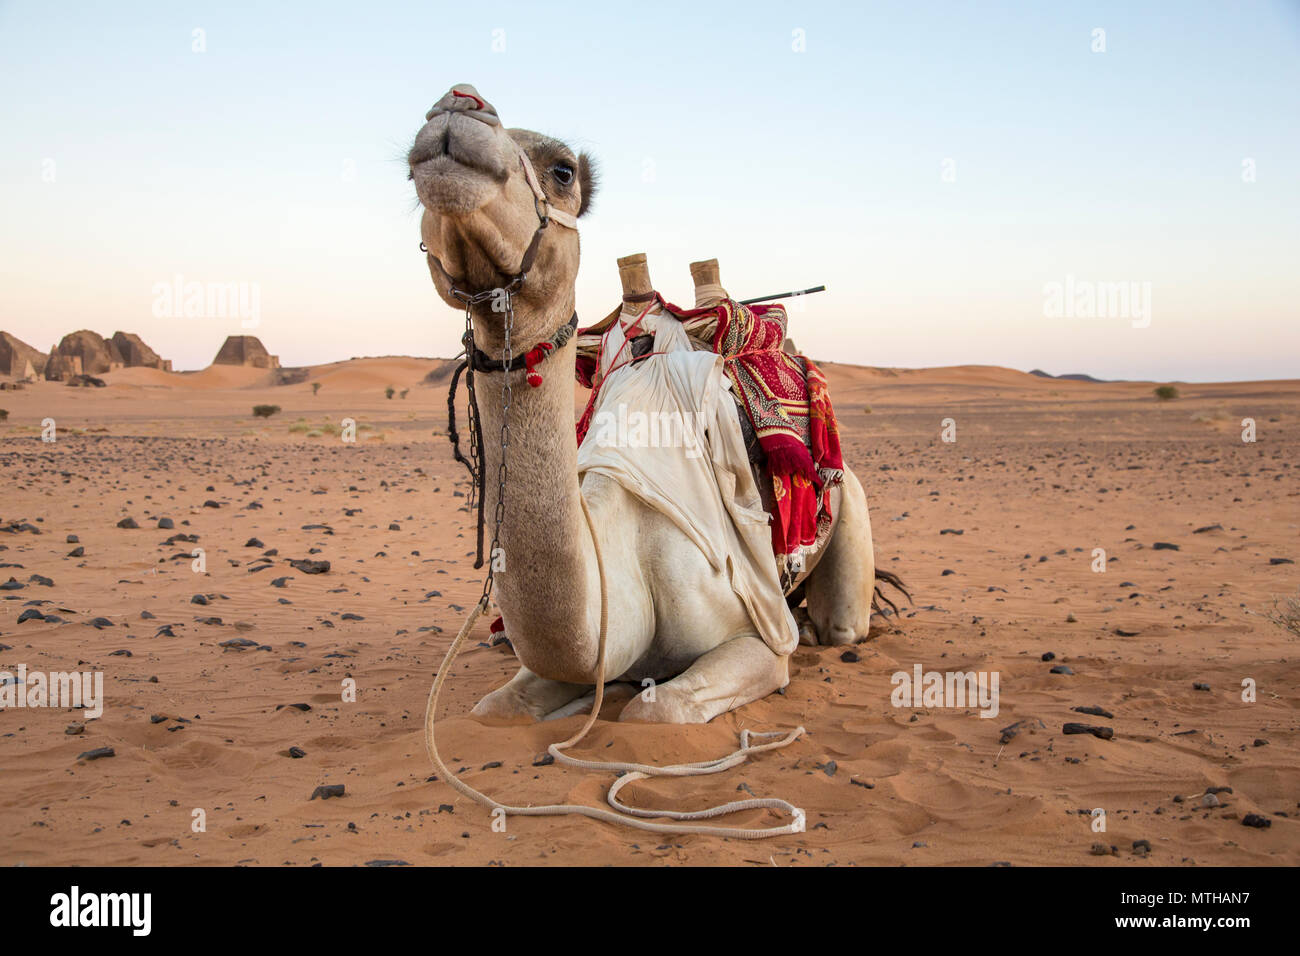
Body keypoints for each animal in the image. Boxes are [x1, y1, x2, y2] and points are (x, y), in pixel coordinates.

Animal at [408, 83, 894, 723]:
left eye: (563, 170)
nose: (457, 103)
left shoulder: (760, 643)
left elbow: (654, 710)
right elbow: (494, 711)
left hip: (851, 507)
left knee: (840, 624)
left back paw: (816, 627)